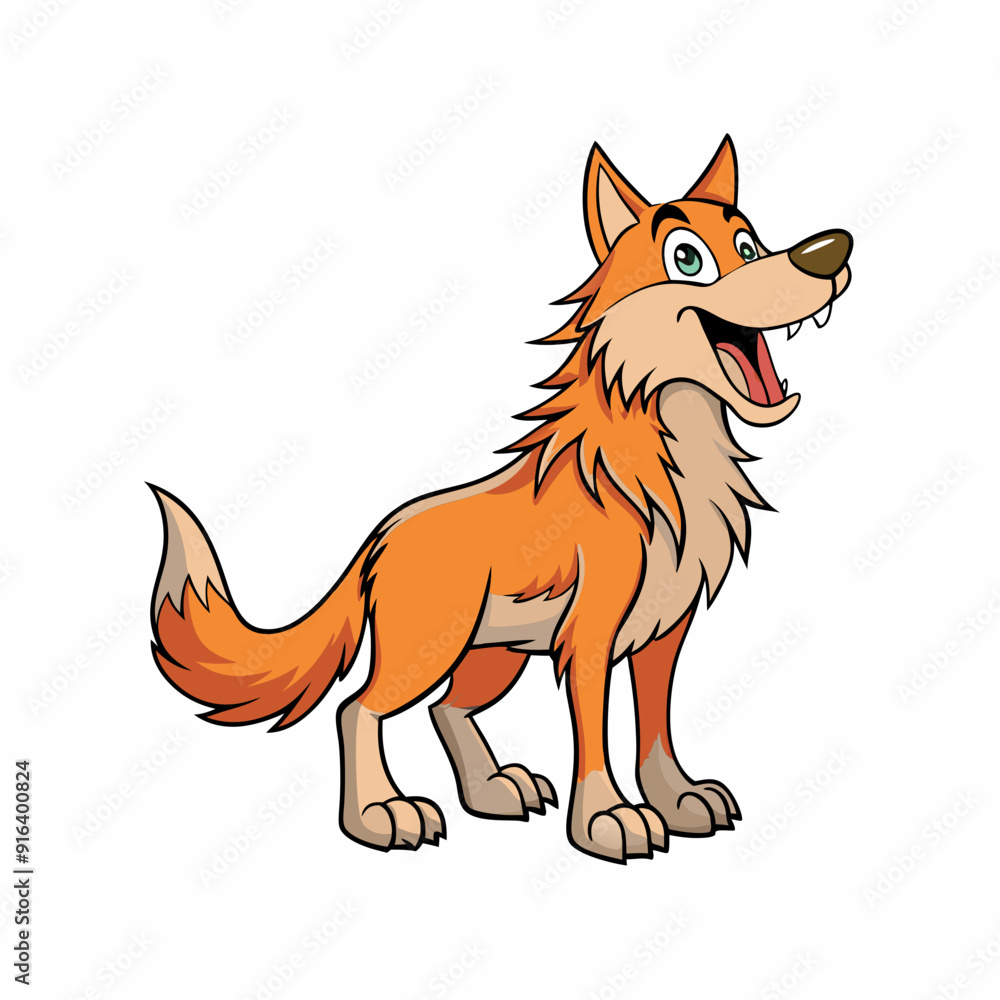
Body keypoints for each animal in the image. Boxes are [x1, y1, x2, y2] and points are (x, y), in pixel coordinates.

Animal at [149, 136, 851, 862]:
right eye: (688, 259)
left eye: (749, 243)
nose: (829, 252)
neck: (670, 465)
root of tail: (379, 535)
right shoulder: (590, 636)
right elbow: (595, 734)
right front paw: (607, 820)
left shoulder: (665, 631)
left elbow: (654, 725)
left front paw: (676, 799)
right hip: (429, 650)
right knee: (359, 708)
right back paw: (379, 815)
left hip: (495, 656)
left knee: (446, 708)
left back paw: (491, 790)